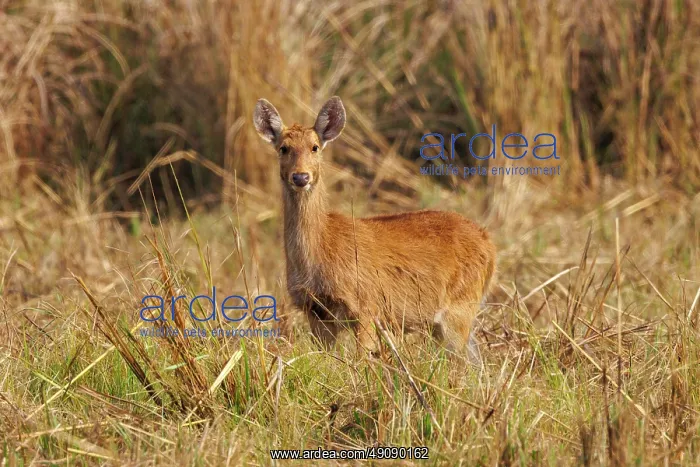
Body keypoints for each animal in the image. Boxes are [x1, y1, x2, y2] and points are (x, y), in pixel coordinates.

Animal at [253, 96, 497, 362]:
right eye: (283, 148)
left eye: (315, 147)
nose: (300, 177)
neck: (321, 248)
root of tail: (488, 242)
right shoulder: (316, 312)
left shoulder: (366, 307)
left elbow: (361, 359)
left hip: (458, 309)